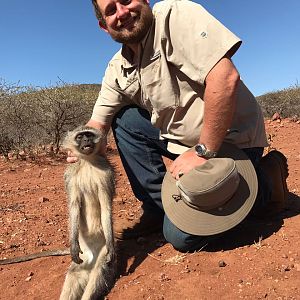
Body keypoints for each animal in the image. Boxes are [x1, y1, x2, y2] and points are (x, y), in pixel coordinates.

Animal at [59, 126, 115, 300]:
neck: (88, 162)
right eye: (80, 137)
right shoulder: (70, 176)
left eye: (89, 135)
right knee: (74, 273)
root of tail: (92, 256)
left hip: (102, 252)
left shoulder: (106, 175)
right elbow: (73, 207)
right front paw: (72, 244)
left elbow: (106, 207)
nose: (86, 141)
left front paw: (112, 246)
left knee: (98, 271)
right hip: (83, 258)